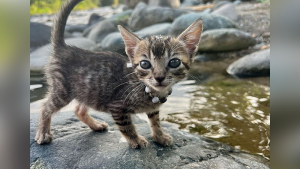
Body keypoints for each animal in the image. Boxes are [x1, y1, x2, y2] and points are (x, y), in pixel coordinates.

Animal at [35, 0, 203, 149]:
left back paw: (95, 125)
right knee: (46, 107)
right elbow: (126, 126)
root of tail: (63, 47)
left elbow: (155, 121)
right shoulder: (117, 106)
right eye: (145, 64)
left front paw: (160, 136)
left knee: (79, 110)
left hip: (86, 90)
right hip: (62, 89)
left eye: (174, 62)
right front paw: (136, 140)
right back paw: (43, 133)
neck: (147, 89)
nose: (159, 77)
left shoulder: (153, 108)